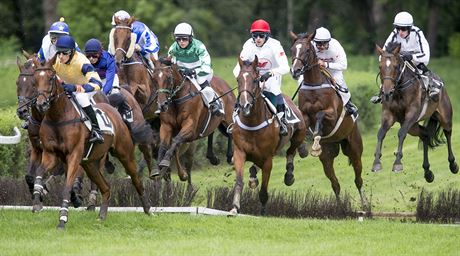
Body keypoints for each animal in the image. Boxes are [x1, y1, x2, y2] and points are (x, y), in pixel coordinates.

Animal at [31, 55, 149, 229]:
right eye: (35, 80)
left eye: (51, 78)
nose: (41, 104)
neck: (58, 118)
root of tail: (115, 111)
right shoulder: (50, 154)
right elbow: (39, 175)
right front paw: (37, 201)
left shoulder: (73, 156)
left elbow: (67, 188)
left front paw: (62, 220)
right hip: (90, 164)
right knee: (105, 187)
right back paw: (102, 215)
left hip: (125, 154)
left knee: (136, 179)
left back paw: (148, 210)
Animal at [232, 57, 308, 215]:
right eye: (238, 79)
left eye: (255, 80)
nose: (244, 105)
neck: (252, 124)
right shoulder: (239, 152)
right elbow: (239, 181)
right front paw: (235, 206)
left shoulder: (268, 159)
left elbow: (263, 190)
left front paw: (262, 212)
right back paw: (253, 176)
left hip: (298, 135)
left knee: (291, 151)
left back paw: (289, 174)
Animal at [290, 32, 368, 208]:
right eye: (292, 49)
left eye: (306, 50)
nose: (295, 71)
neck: (314, 85)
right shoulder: (304, 114)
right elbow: (301, 121)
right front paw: (303, 148)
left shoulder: (332, 114)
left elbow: (320, 115)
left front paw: (316, 138)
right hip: (327, 155)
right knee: (335, 183)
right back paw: (339, 208)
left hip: (354, 149)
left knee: (358, 179)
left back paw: (365, 204)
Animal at [374, 42, 456, 182]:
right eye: (380, 66)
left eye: (395, 66)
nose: (387, 92)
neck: (399, 90)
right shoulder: (388, 115)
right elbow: (381, 133)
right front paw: (376, 162)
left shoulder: (411, 114)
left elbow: (401, 133)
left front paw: (397, 163)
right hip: (412, 127)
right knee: (425, 134)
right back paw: (428, 172)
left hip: (444, 116)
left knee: (447, 133)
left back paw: (453, 164)